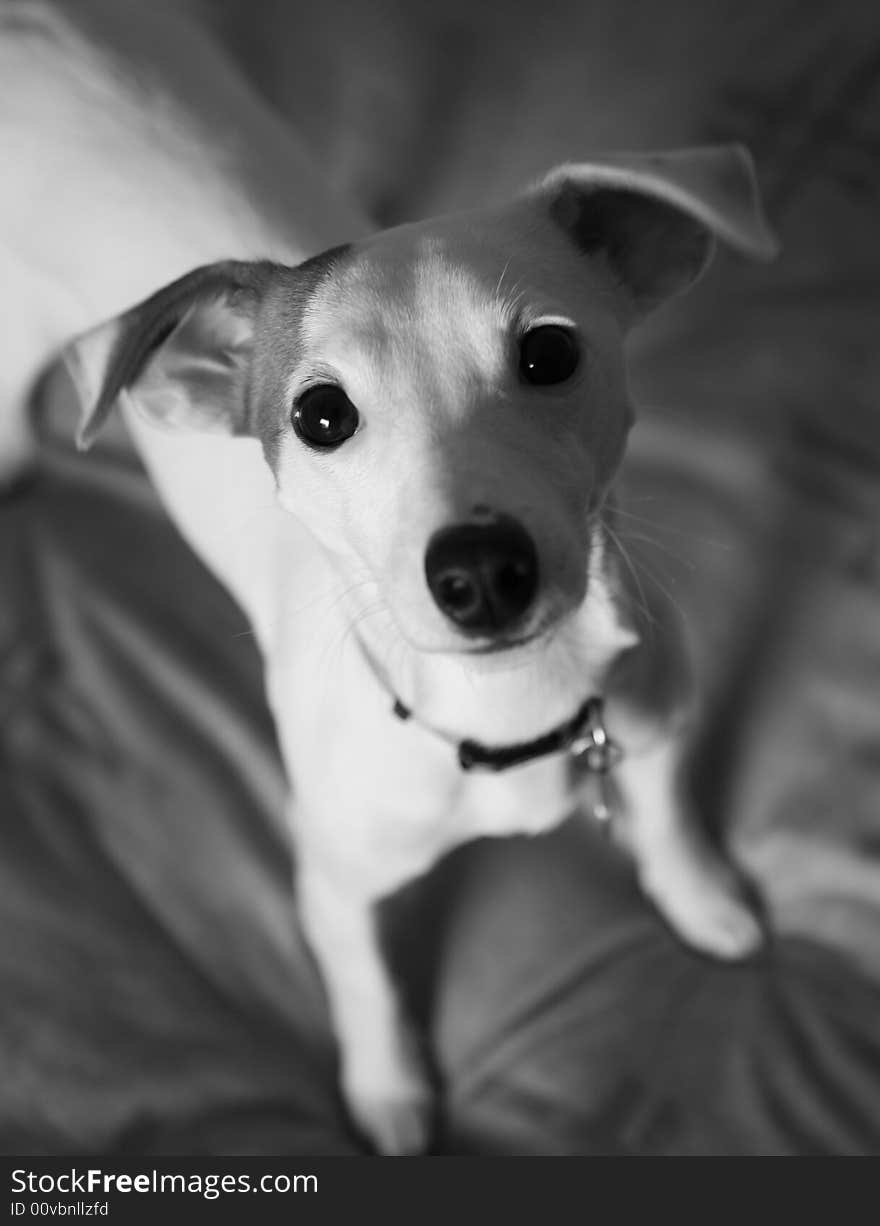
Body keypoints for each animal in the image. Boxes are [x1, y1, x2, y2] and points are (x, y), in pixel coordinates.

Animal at [5, 0, 779, 1152]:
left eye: (550, 353)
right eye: (320, 416)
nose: (480, 571)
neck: (506, 709)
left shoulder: (655, 714)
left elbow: (671, 814)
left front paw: (704, 901)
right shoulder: (333, 885)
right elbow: (368, 984)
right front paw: (391, 1092)